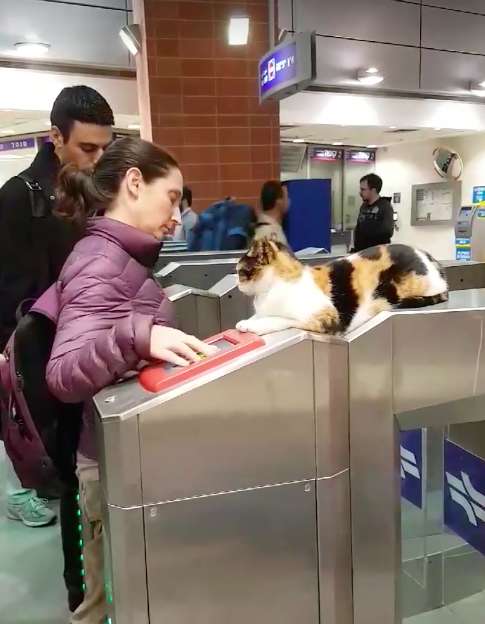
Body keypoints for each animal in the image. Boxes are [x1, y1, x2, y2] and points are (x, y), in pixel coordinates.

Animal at [234, 238, 446, 336]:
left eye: (240, 271)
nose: (236, 283)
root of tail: (429, 257)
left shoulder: (326, 317)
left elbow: (281, 318)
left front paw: (253, 325)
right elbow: (260, 315)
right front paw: (248, 320)